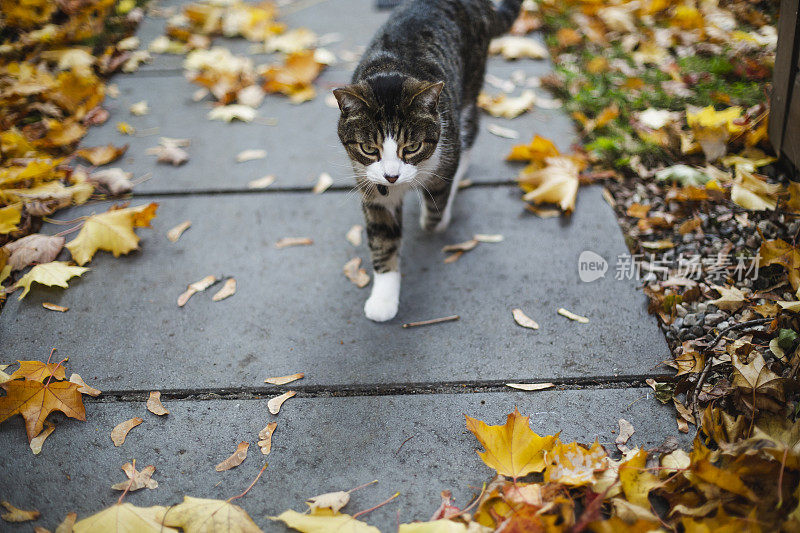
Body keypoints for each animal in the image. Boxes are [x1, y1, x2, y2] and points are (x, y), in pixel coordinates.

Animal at [334, 0, 520, 320]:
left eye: (412, 147)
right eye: (369, 149)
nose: (392, 176)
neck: (393, 69)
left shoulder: (445, 147)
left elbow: (436, 206)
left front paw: (436, 217)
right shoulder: (371, 187)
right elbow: (383, 240)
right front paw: (383, 299)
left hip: (470, 83)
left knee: (471, 128)